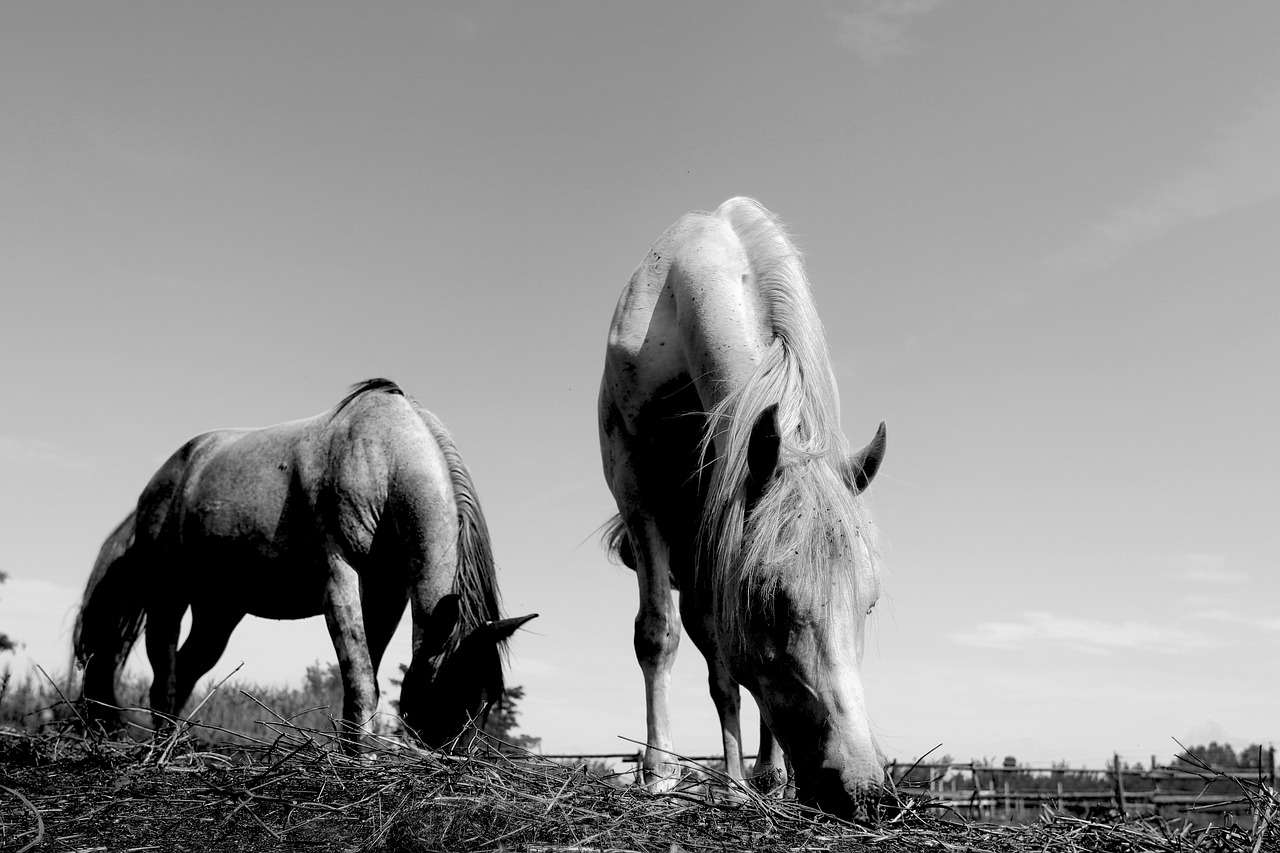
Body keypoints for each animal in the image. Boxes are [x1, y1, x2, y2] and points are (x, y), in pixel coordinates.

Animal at [74, 379, 535, 742]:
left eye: (485, 702)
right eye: (451, 689)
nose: (454, 765)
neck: (381, 457)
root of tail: (155, 486)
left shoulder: (387, 595)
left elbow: (364, 675)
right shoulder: (339, 578)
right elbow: (361, 680)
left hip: (220, 610)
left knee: (187, 669)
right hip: (169, 594)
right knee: (164, 672)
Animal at [601, 197, 890, 809]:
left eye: (870, 605)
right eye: (769, 603)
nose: (860, 789)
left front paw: (761, 776)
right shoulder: (636, 487)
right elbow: (658, 634)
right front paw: (658, 774)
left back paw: (759, 777)